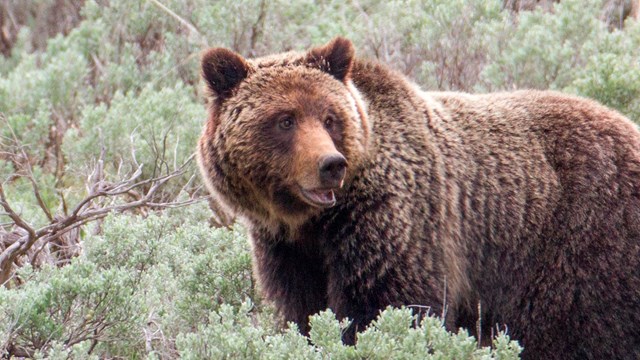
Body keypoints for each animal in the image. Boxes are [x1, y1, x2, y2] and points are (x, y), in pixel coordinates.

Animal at [196, 38, 640, 358]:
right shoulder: (287, 250)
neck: (314, 222)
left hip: (580, 248)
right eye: (285, 120)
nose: (330, 164)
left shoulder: (395, 224)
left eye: (329, 117)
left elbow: (390, 308)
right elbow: (304, 313)